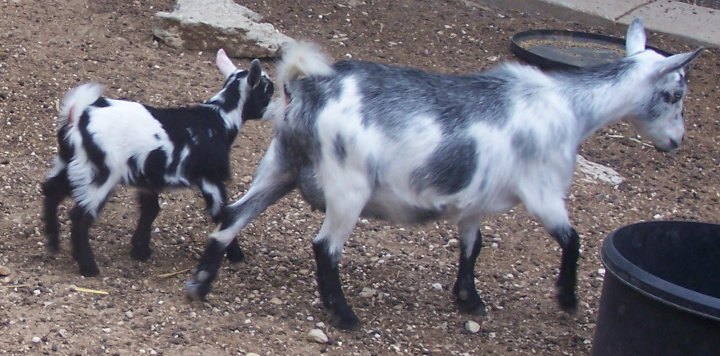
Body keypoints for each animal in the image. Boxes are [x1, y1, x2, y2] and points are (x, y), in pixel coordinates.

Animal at [186, 20, 704, 330]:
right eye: (675, 92)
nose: (676, 141)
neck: (573, 109)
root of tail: (309, 87)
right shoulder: (543, 192)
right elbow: (572, 240)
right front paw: (567, 299)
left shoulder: (473, 202)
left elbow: (473, 245)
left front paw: (468, 299)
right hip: (348, 187)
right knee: (324, 247)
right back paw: (346, 315)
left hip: (280, 167)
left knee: (231, 216)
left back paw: (200, 284)